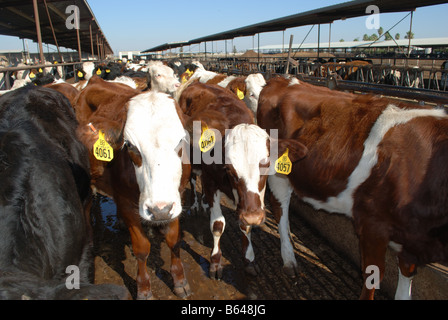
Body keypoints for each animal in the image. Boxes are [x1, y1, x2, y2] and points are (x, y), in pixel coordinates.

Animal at [73, 76, 191, 298]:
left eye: (180, 141)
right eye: (130, 145)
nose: (159, 210)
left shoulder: (176, 199)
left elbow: (173, 240)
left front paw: (180, 280)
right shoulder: (128, 204)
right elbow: (142, 249)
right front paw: (144, 289)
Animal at [178, 82, 308, 278]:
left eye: (266, 165)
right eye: (230, 169)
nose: (253, 216)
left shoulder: (250, 202)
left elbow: (246, 227)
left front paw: (249, 259)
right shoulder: (210, 182)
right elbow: (217, 224)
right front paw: (215, 262)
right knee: (193, 180)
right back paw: (195, 204)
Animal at [256, 75, 448, 300]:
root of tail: (283, 79)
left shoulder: (411, 237)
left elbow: (406, 276)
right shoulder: (372, 223)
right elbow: (374, 275)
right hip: (277, 170)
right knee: (280, 206)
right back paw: (289, 259)